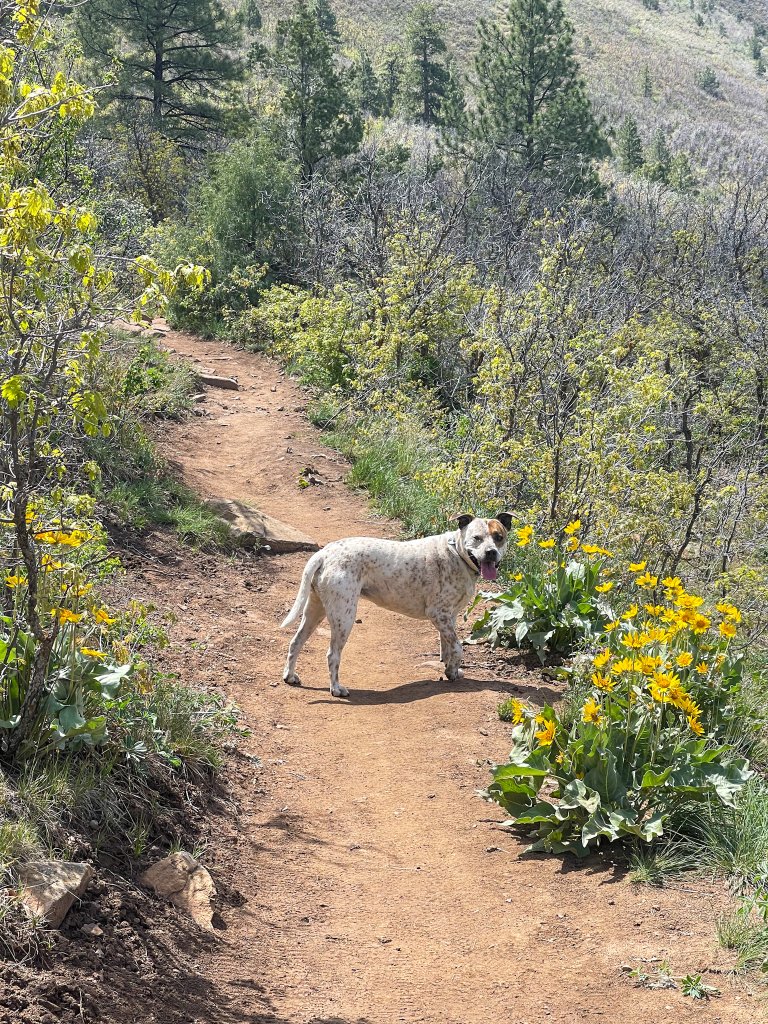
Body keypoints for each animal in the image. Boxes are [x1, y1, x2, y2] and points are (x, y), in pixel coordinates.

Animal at [280, 512, 512, 696]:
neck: (458, 555)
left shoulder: (449, 618)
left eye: (499, 537)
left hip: (314, 611)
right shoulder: (438, 615)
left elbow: (446, 647)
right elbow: (457, 646)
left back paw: (290, 676)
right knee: (332, 654)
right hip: (344, 617)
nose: (491, 552)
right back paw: (336, 689)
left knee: (295, 642)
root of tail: (324, 553)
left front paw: (450, 670)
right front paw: (452, 672)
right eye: (477, 538)